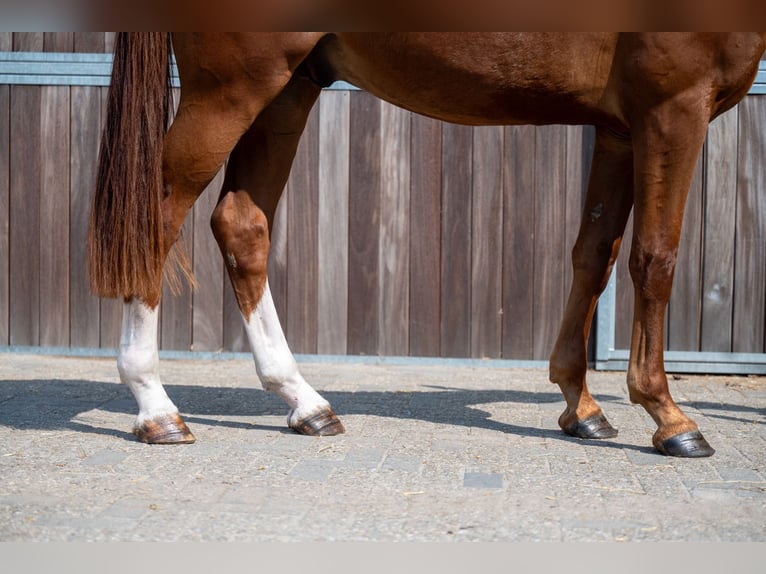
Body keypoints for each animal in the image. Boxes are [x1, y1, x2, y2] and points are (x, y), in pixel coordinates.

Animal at [87, 35, 764, 460]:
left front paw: (581, 406)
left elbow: (593, 255)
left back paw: (305, 403)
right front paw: (669, 417)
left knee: (242, 225)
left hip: (287, 89)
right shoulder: (671, 106)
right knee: (154, 220)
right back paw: (155, 408)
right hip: (231, 88)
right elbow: (655, 257)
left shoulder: (620, 127)